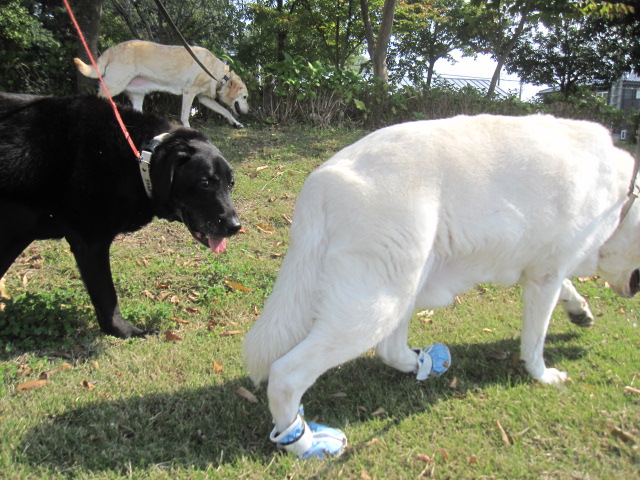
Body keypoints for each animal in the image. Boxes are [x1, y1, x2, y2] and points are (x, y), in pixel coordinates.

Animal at [0, 94, 240, 338]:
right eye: (204, 183)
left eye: (231, 183)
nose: (235, 227)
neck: (138, 158)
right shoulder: (90, 241)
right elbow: (107, 295)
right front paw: (126, 331)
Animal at [72, 39, 248, 127]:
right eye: (245, 97)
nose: (248, 111)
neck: (219, 75)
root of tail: (112, 49)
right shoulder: (189, 93)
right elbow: (185, 116)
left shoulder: (203, 98)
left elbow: (224, 111)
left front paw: (236, 123)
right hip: (113, 86)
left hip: (137, 95)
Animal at [244, 114, 640, 460]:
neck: (624, 199)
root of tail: (322, 178)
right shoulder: (546, 276)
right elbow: (535, 340)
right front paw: (543, 375)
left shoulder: (544, 269)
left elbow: (567, 287)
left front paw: (579, 311)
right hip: (375, 303)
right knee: (286, 375)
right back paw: (302, 442)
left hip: (404, 281)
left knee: (389, 349)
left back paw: (422, 364)